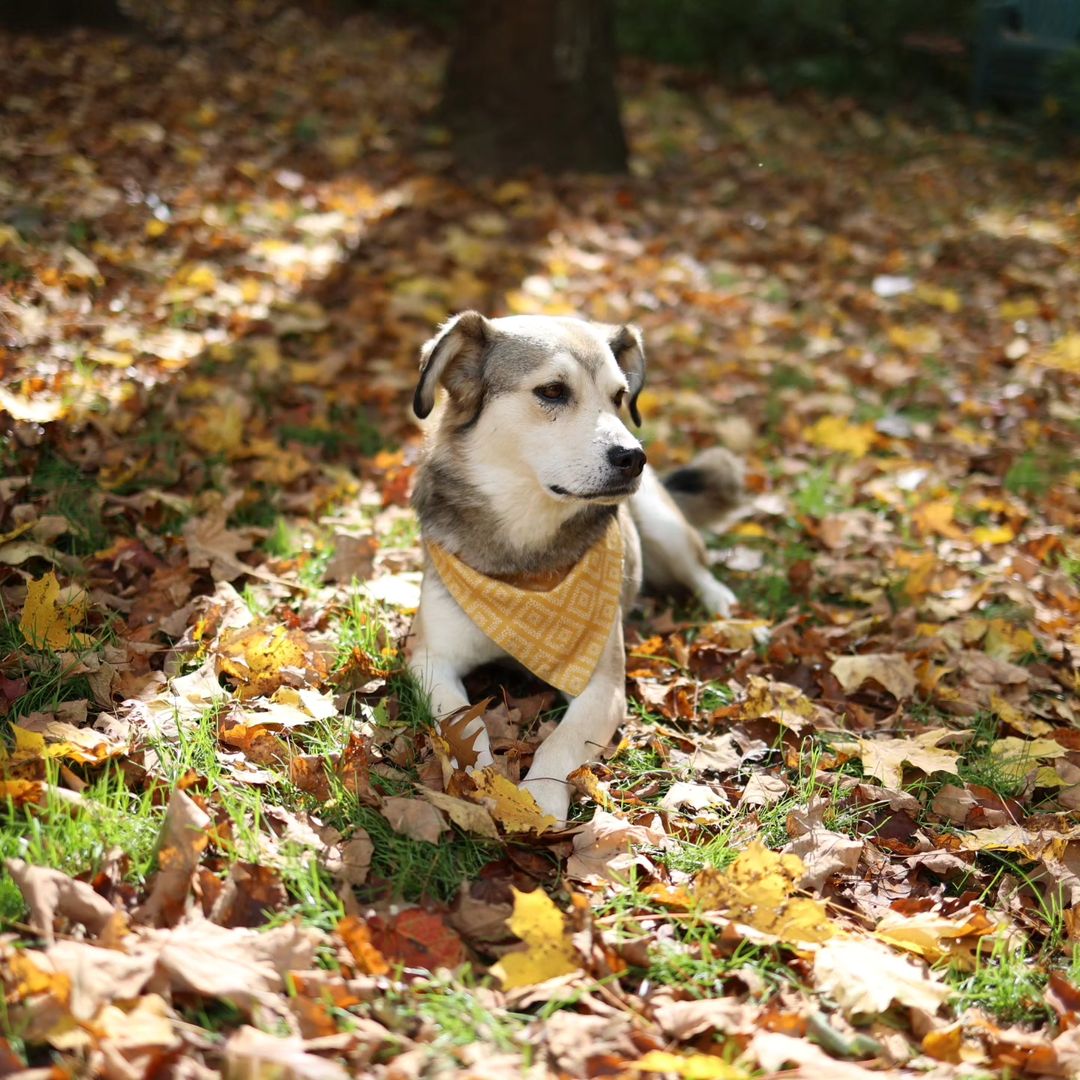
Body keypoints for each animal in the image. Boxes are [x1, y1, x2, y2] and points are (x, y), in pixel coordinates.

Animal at [406, 313, 743, 816]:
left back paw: (723, 607)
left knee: (699, 569)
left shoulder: (602, 685)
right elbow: (466, 726)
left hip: (662, 524)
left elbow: (559, 744)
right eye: (552, 391)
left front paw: (538, 801)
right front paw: (484, 784)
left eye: (620, 396)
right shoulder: (431, 660)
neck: (525, 553)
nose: (634, 457)